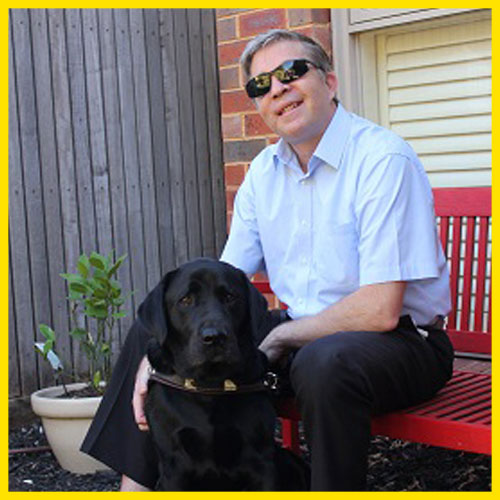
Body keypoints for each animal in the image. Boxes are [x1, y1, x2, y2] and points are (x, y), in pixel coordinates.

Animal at [142, 260, 308, 490]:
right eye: (186, 300)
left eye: (230, 297)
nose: (215, 337)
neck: (210, 386)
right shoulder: (173, 467)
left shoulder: (262, 462)